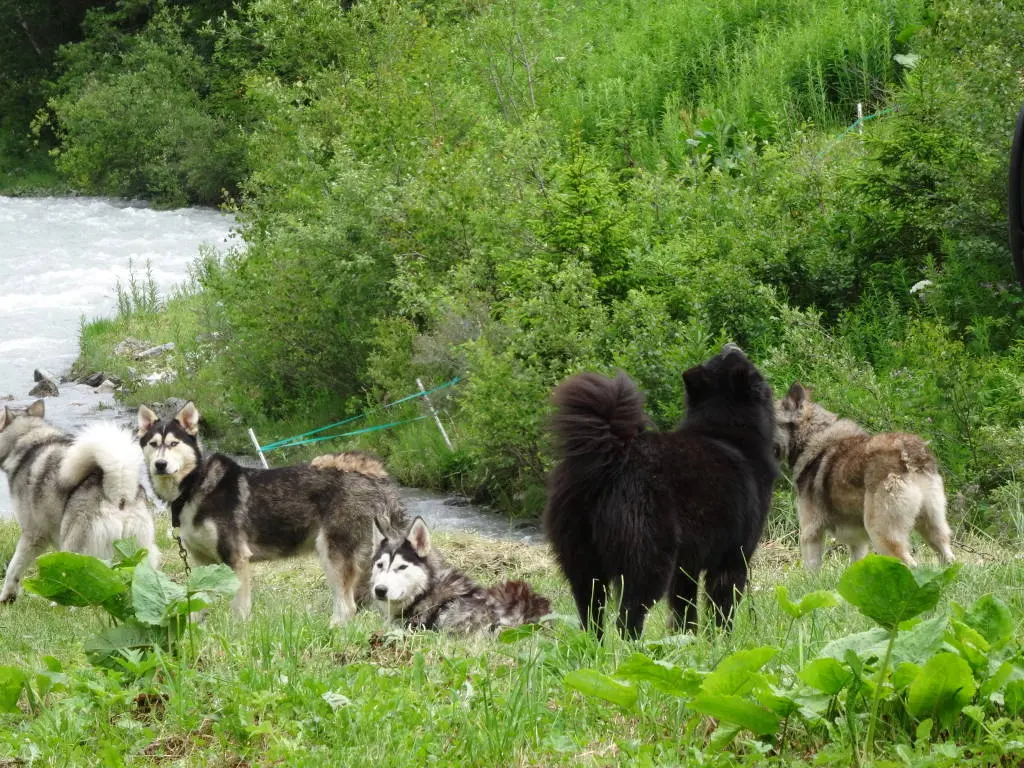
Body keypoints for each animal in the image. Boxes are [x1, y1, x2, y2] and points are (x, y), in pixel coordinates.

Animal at [544, 346, 774, 638]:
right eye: (731, 359)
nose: (730, 345)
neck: (725, 430)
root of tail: (611, 459)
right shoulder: (732, 559)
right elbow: (721, 609)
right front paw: (720, 641)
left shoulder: (685, 568)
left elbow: (684, 610)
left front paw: (686, 640)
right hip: (649, 560)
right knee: (627, 618)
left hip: (583, 562)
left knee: (591, 617)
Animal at [774, 385, 950, 573]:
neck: (812, 436)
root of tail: (911, 454)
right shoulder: (858, 542)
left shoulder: (810, 532)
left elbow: (811, 572)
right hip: (934, 532)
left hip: (882, 535)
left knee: (911, 565)